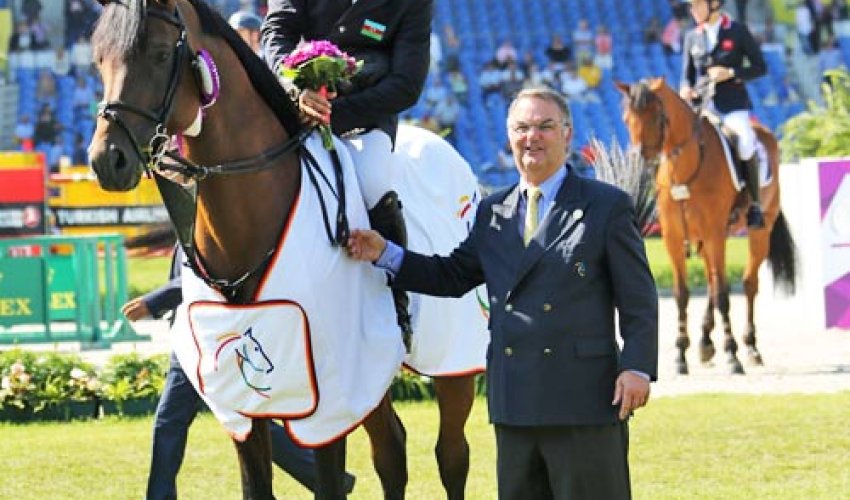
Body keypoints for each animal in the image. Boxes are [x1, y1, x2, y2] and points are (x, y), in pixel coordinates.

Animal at [88, 1, 484, 498]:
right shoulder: (244, 406)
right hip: (372, 372)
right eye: (99, 60)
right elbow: (257, 484)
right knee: (392, 452)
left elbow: (330, 481)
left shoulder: (327, 398)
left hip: (454, 363)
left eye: (160, 55)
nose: (107, 160)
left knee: (452, 456)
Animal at [612, 78, 792, 376]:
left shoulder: (713, 233)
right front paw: (680, 356)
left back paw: (750, 347)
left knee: (747, 284)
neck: (685, 169)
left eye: (656, 118)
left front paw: (732, 356)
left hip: (758, 233)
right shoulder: (674, 238)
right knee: (711, 281)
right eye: (626, 119)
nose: (639, 161)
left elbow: (723, 294)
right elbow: (682, 294)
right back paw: (706, 343)